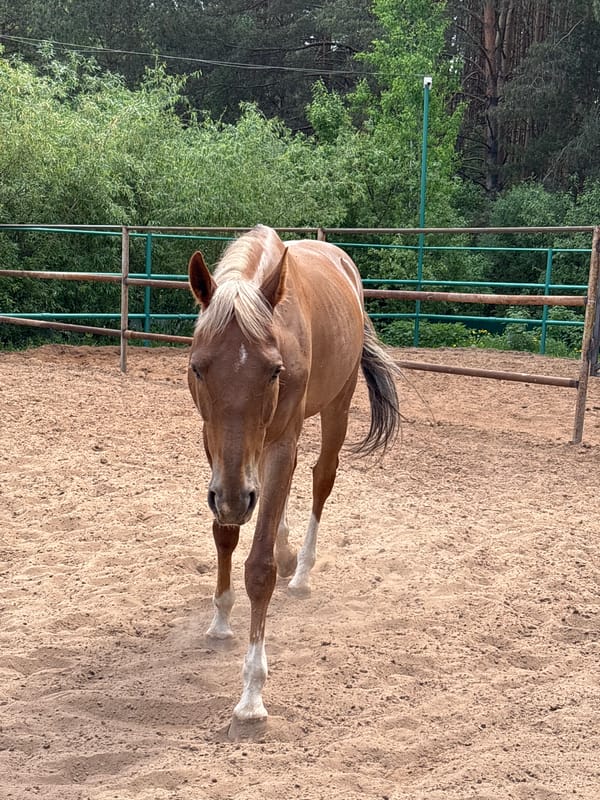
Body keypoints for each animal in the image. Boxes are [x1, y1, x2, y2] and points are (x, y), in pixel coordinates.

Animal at [186, 224, 400, 728]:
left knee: (322, 478)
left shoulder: (282, 442)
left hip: (336, 407)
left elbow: (259, 566)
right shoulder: (217, 452)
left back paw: (300, 571)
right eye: (197, 368)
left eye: (273, 371)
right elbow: (225, 533)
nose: (234, 499)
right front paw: (221, 619)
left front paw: (251, 695)